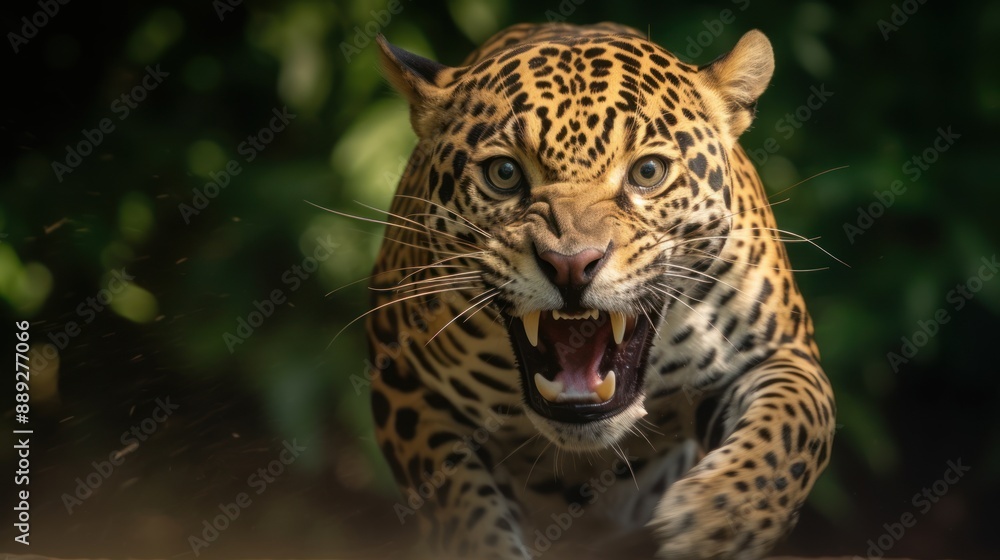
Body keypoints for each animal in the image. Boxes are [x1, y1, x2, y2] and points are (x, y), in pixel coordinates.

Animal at [363, 21, 835, 560]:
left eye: (648, 172)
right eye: (504, 173)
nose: (571, 264)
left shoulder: (780, 352)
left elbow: (795, 425)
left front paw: (721, 513)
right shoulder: (405, 383)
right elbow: (459, 506)